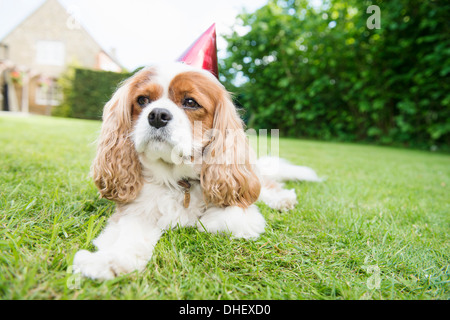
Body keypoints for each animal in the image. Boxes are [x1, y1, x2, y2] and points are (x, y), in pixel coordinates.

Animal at [73, 62, 320, 280]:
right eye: (142, 100)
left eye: (190, 102)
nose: (157, 115)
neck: (177, 181)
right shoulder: (134, 211)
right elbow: (127, 236)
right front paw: (109, 261)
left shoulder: (243, 214)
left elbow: (230, 217)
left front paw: (206, 218)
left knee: (264, 185)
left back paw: (281, 199)